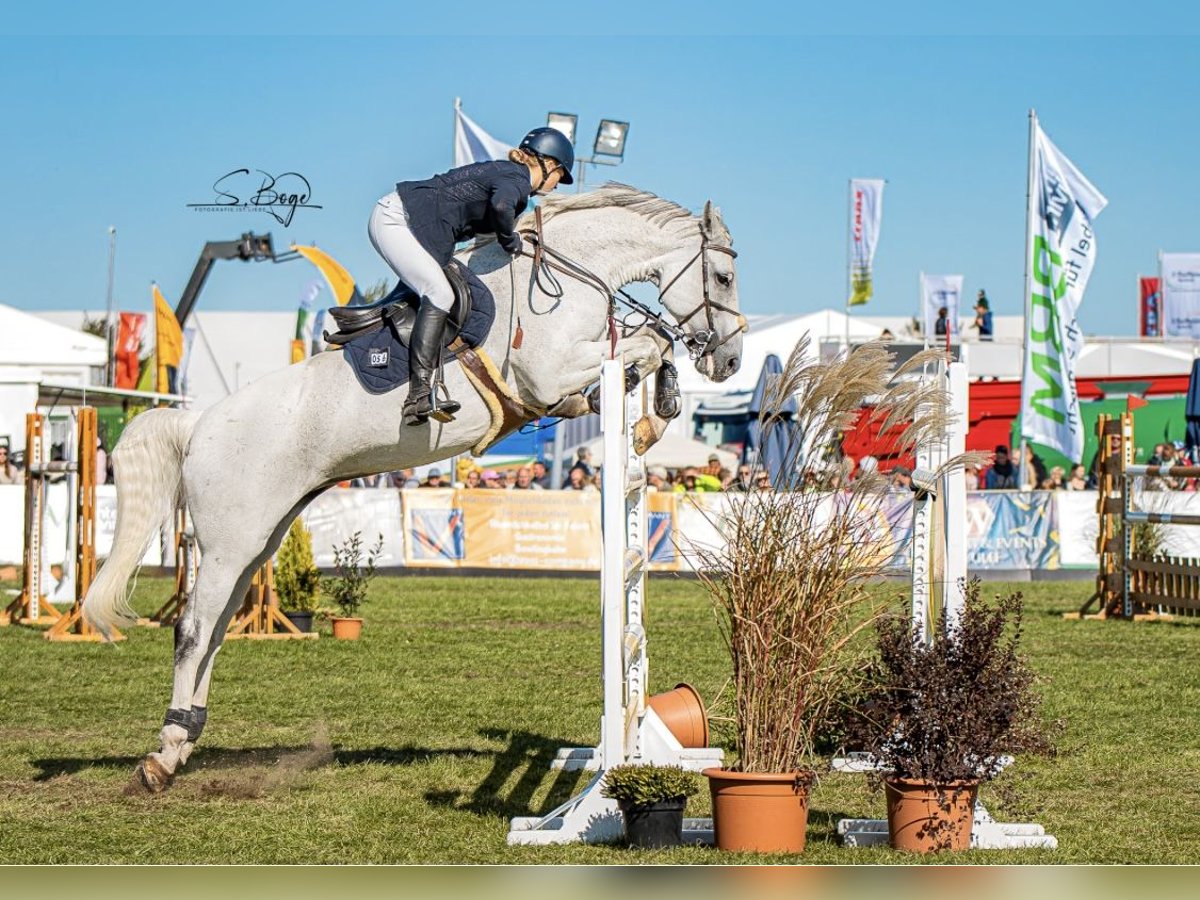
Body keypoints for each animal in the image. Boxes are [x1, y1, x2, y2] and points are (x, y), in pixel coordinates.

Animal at [82, 184, 739, 796]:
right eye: (725, 277)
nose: (730, 362)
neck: (573, 273)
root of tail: (198, 423)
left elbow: (645, 347)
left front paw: (652, 406)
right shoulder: (548, 374)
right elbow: (650, 342)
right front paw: (654, 409)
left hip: (256, 540)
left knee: (215, 630)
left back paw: (186, 739)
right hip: (228, 544)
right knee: (192, 630)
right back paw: (163, 756)